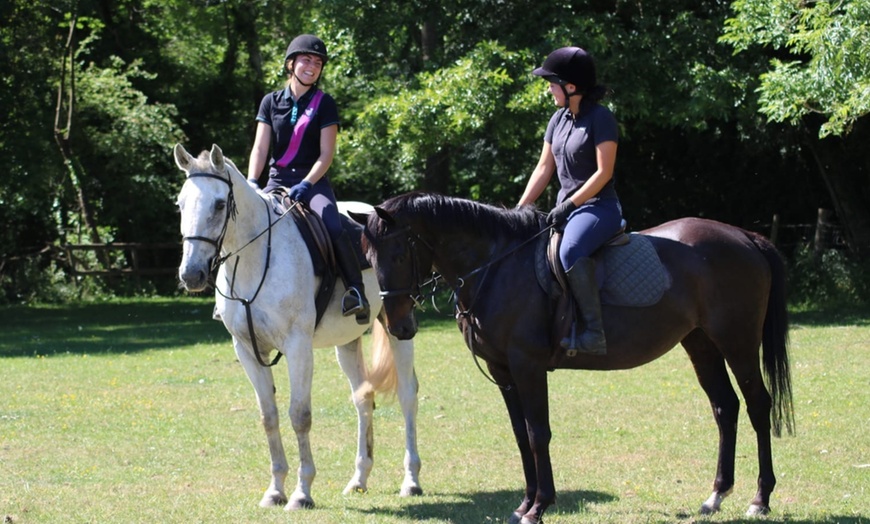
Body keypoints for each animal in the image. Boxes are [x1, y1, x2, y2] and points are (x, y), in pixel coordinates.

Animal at [173, 144, 422, 512]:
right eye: (180, 204)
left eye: (219, 204)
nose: (191, 274)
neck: (255, 258)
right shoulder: (247, 350)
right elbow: (269, 416)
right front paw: (275, 490)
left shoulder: (297, 346)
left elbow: (300, 415)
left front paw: (302, 493)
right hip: (347, 341)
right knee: (363, 397)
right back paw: (359, 479)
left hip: (398, 327)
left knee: (407, 395)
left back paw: (411, 481)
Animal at [354, 192, 796, 524]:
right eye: (369, 260)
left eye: (398, 255)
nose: (399, 326)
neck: (496, 267)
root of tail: (744, 237)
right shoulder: (504, 370)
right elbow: (521, 435)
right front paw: (524, 504)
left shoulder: (528, 366)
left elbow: (538, 433)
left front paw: (539, 506)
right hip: (701, 343)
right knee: (725, 408)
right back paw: (715, 496)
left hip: (737, 342)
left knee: (757, 406)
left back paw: (760, 499)